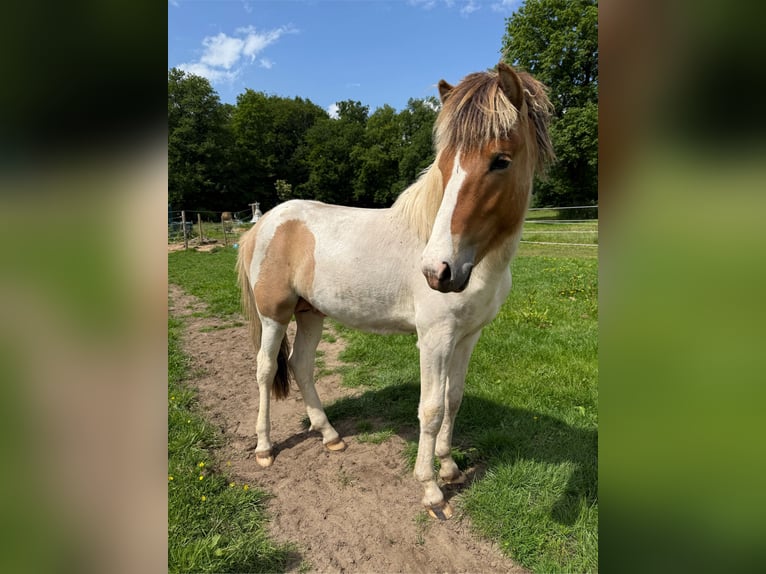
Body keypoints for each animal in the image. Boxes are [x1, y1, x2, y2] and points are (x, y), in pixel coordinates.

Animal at [236, 62, 554, 520]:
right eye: (444, 163)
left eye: (501, 160)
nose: (437, 271)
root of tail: (264, 222)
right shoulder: (435, 339)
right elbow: (431, 409)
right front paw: (432, 490)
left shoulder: (468, 336)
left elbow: (454, 399)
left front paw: (450, 467)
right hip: (274, 315)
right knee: (264, 369)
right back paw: (264, 447)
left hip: (310, 313)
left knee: (300, 366)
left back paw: (330, 435)